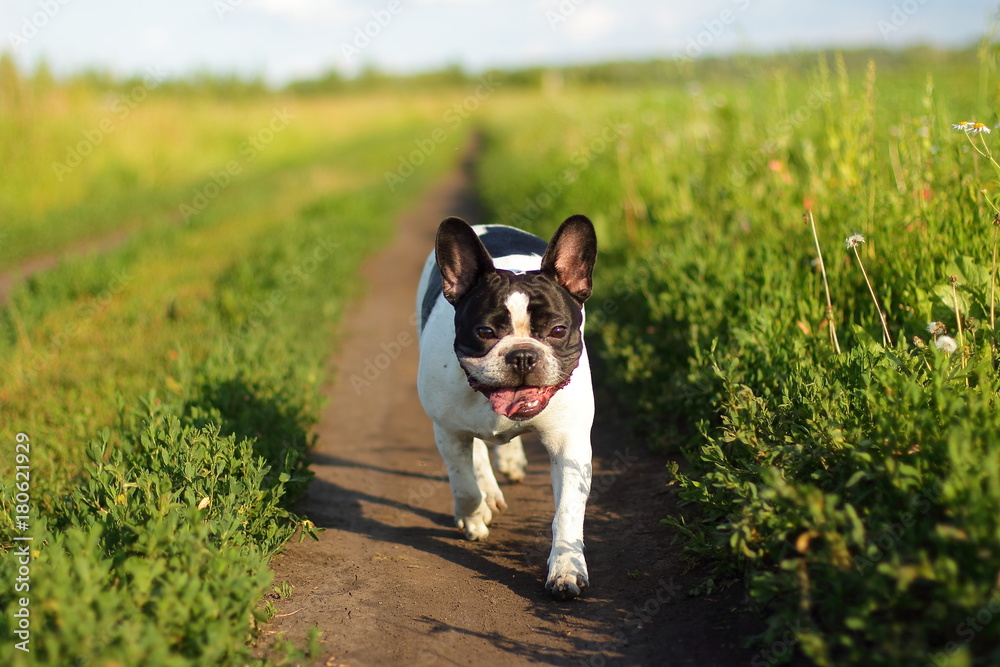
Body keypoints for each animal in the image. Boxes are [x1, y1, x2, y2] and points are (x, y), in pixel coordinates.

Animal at [414, 215, 592, 600]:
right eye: (484, 332)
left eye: (558, 330)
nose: (522, 354)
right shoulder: (448, 431)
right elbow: (464, 483)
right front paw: (473, 516)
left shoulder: (570, 444)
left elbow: (568, 509)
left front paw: (566, 568)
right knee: (476, 456)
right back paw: (489, 494)